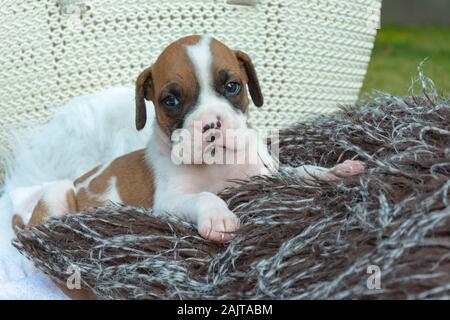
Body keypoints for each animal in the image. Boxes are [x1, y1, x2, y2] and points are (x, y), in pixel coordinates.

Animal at [13, 34, 366, 242]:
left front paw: (333, 171)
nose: (210, 124)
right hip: (57, 195)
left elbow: (301, 171)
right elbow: (205, 196)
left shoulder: (267, 174)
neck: (220, 164)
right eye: (170, 100)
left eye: (232, 86)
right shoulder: (170, 202)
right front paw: (219, 216)